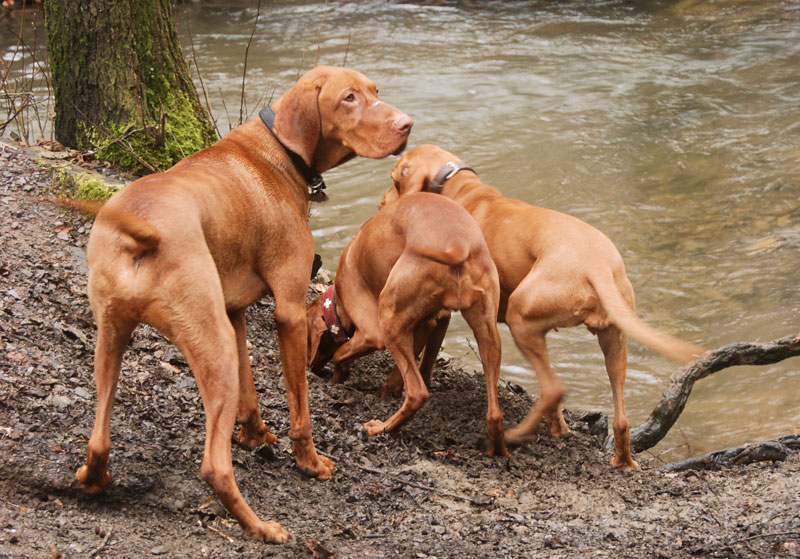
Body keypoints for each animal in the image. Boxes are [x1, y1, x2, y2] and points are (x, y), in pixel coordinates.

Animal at [75, 64, 412, 544]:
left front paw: (255, 435)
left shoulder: (234, 312)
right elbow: (300, 409)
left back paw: (94, 479)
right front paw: (309, 463)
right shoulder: (289, 311)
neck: (278, 151)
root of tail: (143, 233)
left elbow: (250, 389)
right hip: (210, 349)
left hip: (112, 340)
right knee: (214, 468)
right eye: (348, 98)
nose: (407, 125)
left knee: (99, 440)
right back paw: (262, 527)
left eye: (374, 91)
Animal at [304, 192, 510, 460]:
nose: (311, 368)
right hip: (488, 334)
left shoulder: (372, 334)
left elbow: (340, 354)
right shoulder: (436, 321)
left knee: (417, 393)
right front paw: (388, 389)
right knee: (494, 415)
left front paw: (338, 378)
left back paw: (379, 428)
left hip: (388, 318)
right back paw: (498, 450)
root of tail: (458, 245)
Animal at [382, 143, 708, 468]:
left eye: (395, 178)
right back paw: (615, 457)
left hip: (520, 319)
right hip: (613, 339)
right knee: (618, 418)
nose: (382, 203)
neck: (461, 188)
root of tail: (598, 265)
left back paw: (514, 436)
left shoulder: (440, 314)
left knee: (552, 389)